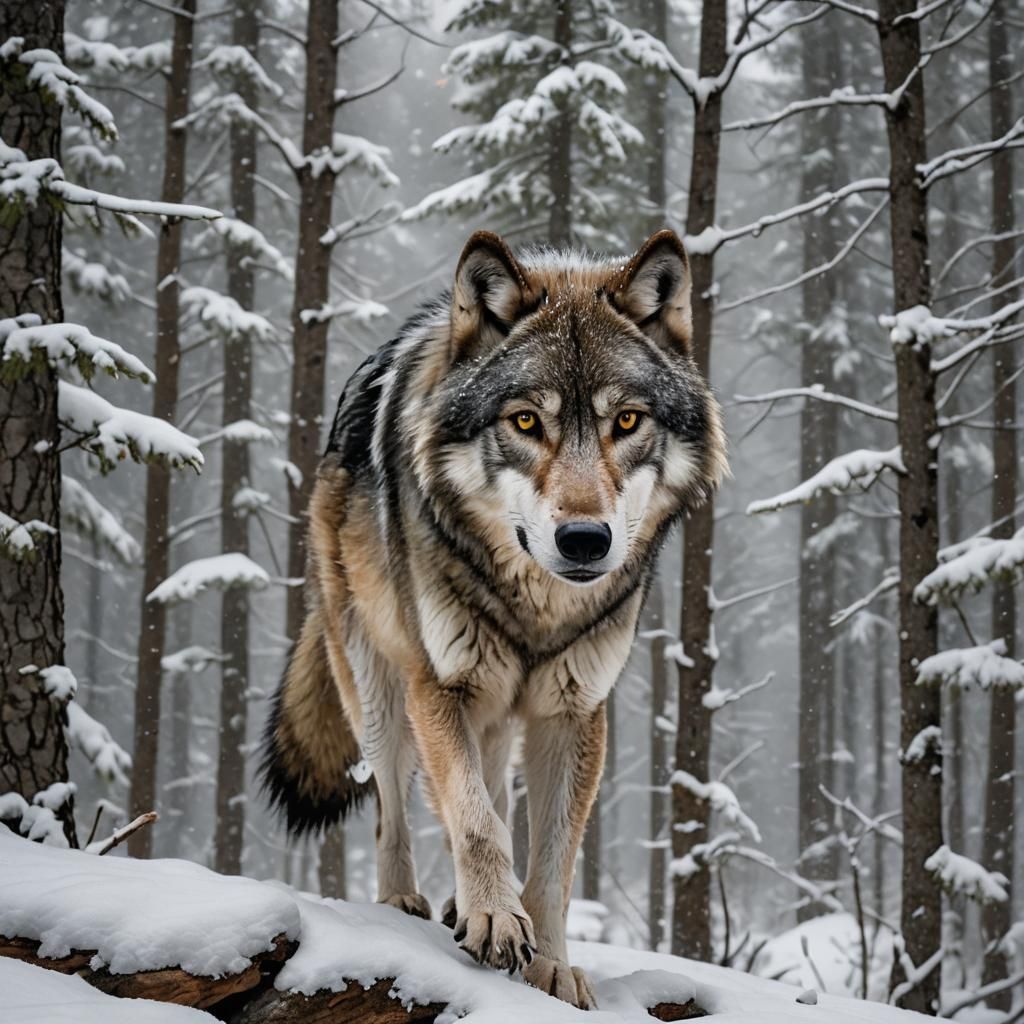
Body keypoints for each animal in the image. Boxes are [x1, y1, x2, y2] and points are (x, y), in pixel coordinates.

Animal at [261, 228, 726, 1008]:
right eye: (526, 421)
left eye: (627, 420)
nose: (585, 540)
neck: (535, 606)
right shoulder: (440, 686)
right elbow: (473, 818)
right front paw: (494, 919)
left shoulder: (574, 710)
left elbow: (552, 857)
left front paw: (551, 965)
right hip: (380, 691)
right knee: (396, 804)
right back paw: (406, 902)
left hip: (500, 714)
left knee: (494, 796)